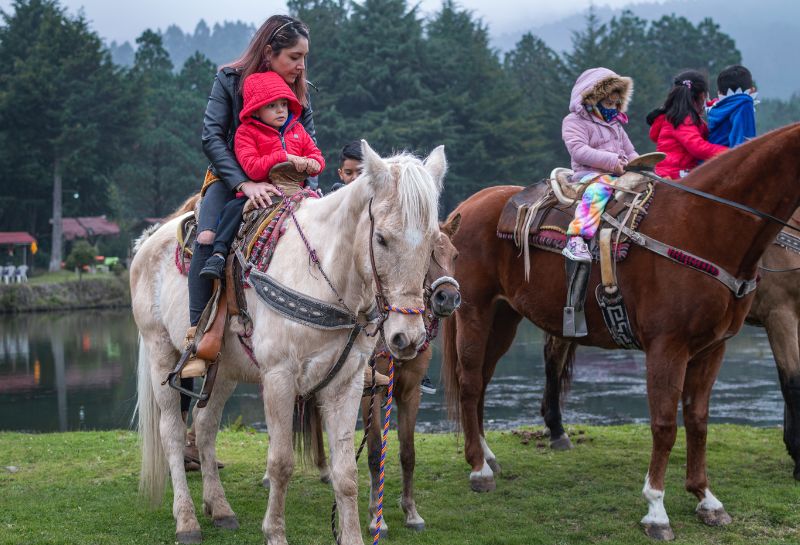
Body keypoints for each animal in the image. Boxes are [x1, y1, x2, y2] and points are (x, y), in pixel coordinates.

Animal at [130, 141, 444, 544]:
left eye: (433, 242)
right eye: (382, 239)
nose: (407, 337)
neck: (324, 276)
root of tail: (147, 241)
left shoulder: (347, 384)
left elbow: (346, 472)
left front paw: (353, 534)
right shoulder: (279, 378)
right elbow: (280, 463)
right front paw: (275, 533)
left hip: (224, 369)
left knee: (204, 425)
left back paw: (220, 509)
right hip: (161, 352)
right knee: (172, 430)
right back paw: (187, 521)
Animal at [440, 124, 800, 540]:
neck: (701, 227)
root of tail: (465, 208)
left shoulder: (712, 349)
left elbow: (697, 421)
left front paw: (706, 498)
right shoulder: (668, 348)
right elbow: (664, 425)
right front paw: (656, 510)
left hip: (504, 318)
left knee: (482, 381)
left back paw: (487, 455)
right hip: (475, 312)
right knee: (469, 384)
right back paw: (479, 469)